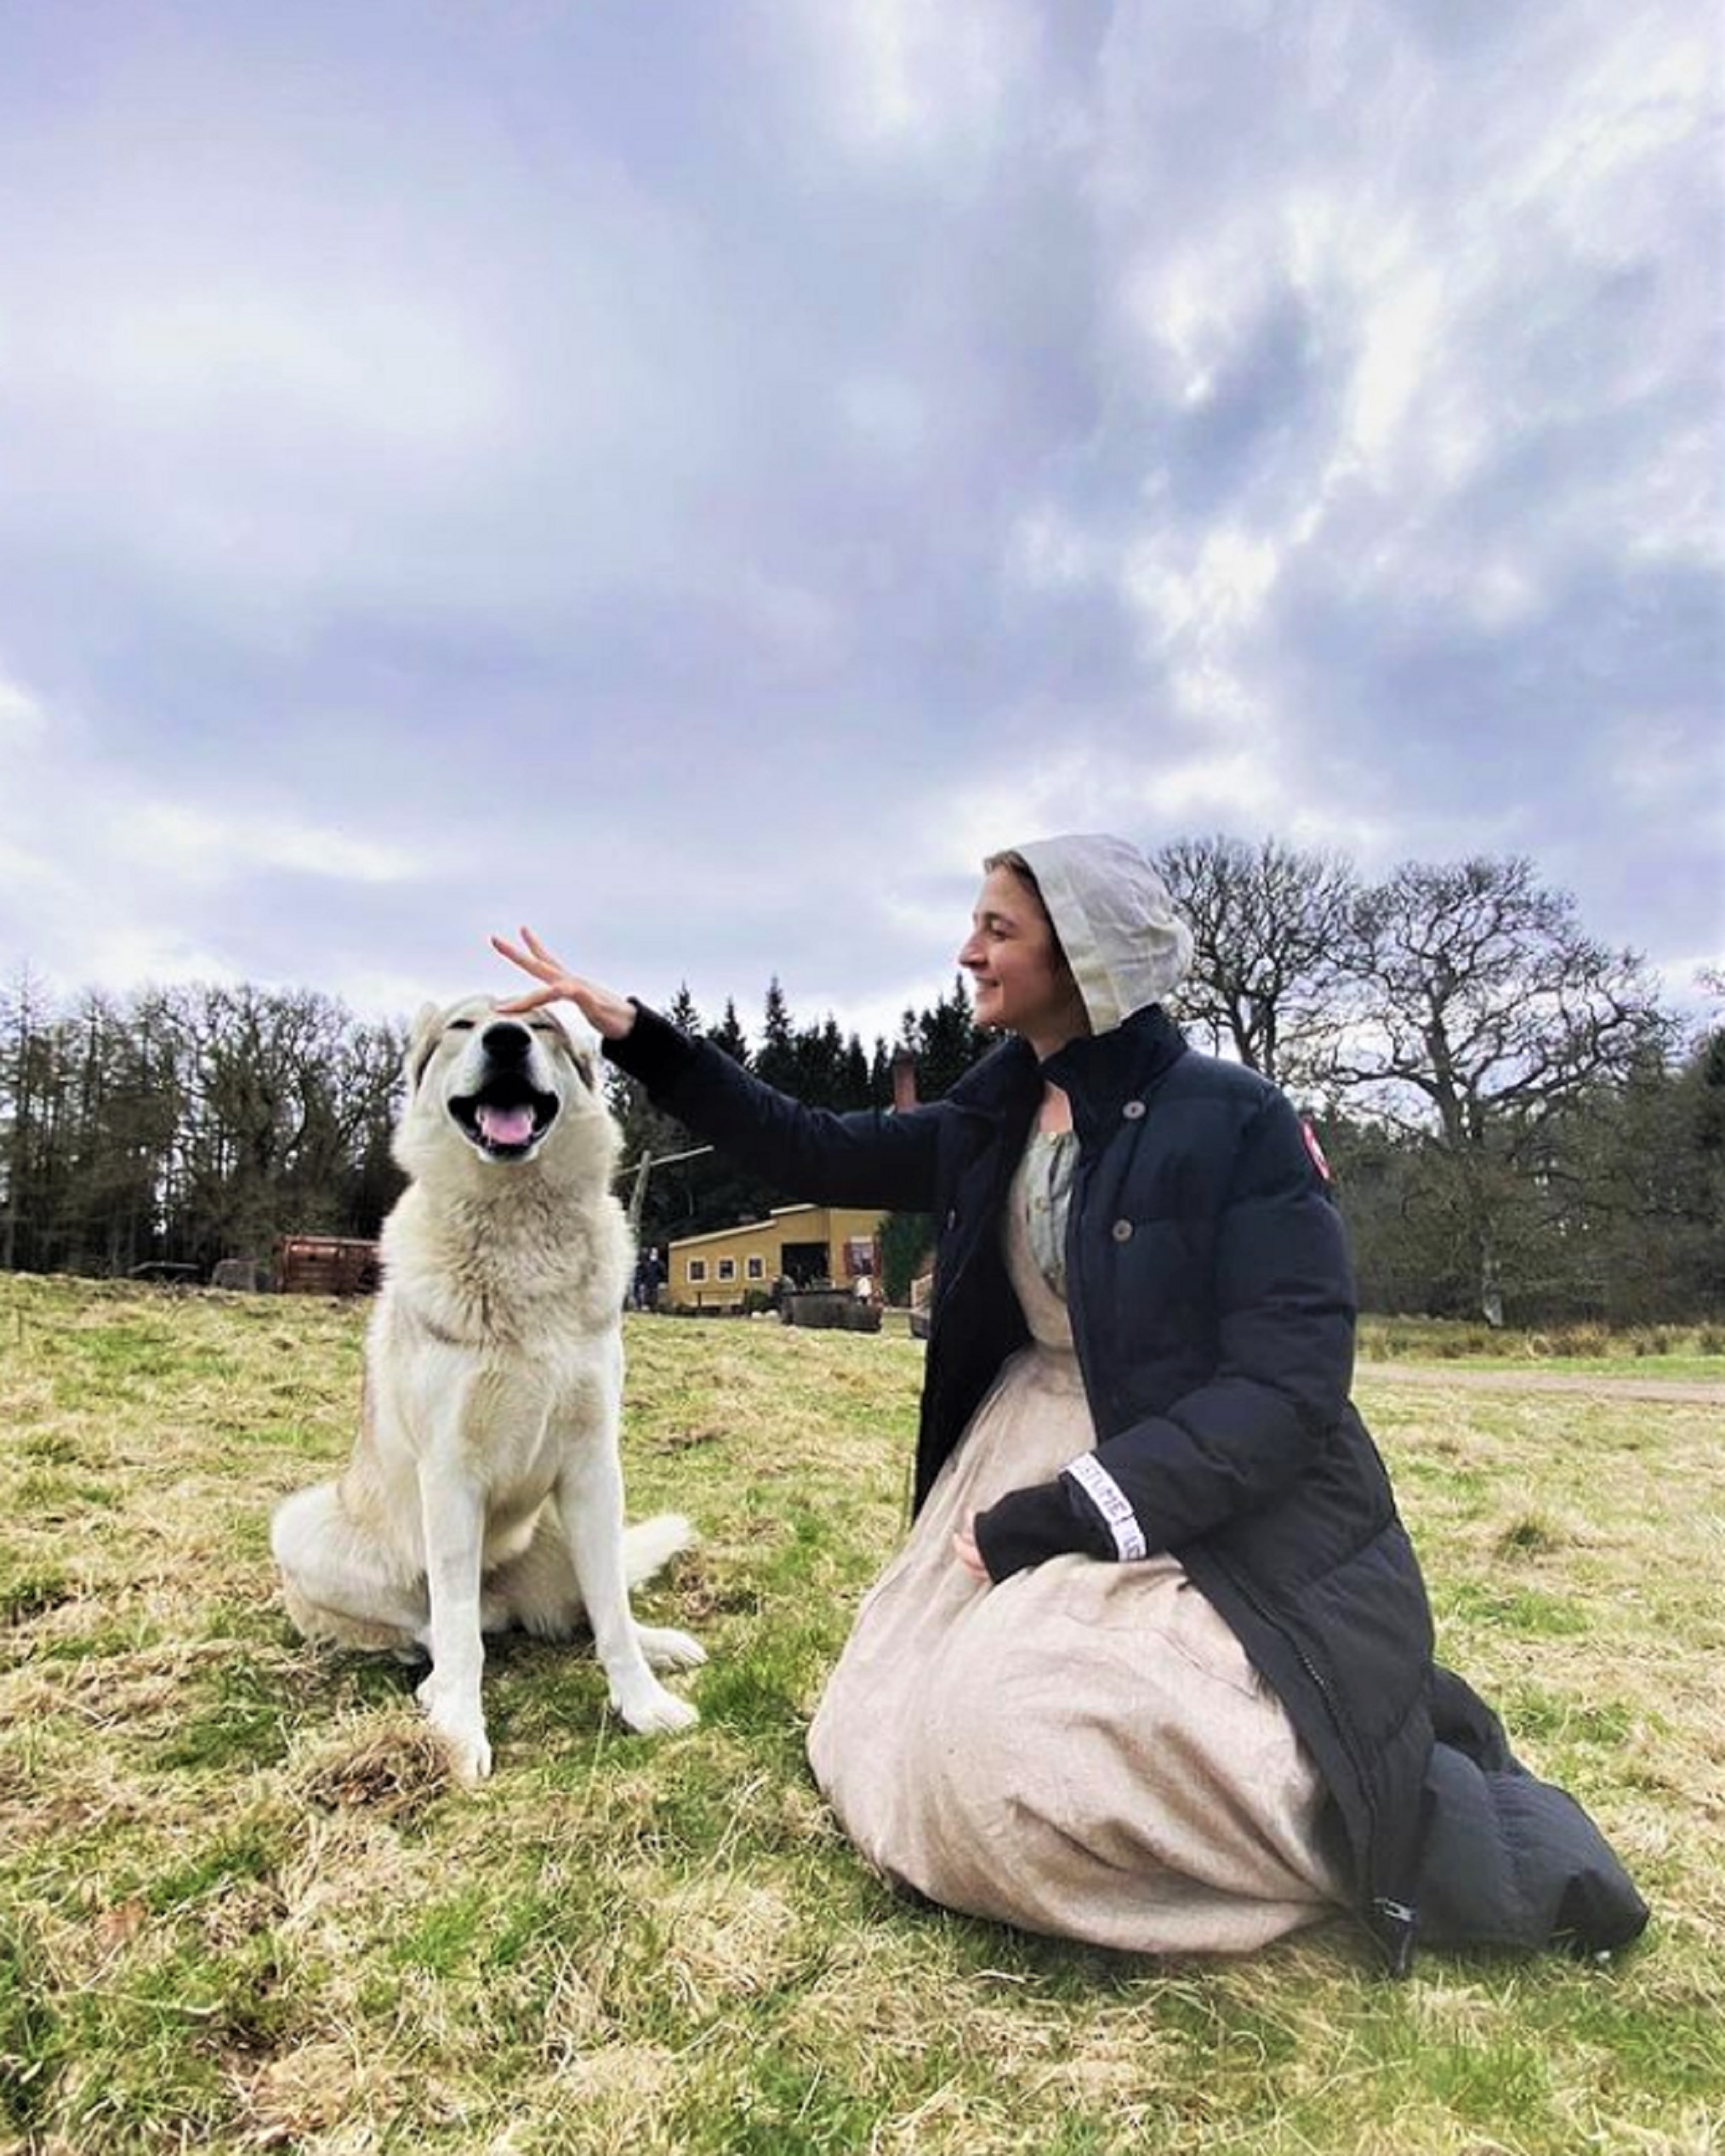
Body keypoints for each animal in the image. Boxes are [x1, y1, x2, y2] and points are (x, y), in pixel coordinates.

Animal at [269, 992, 698, 1784]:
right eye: (463, 1027)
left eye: (544, 1026)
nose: (505, 1039)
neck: (518, 1224)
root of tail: (511, 1600)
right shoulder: (450, 1476)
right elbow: (458, 1628)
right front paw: (459, 1732)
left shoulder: (594, 1465)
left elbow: (611, 1614)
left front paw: (642, 1703)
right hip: (304, 1526)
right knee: (437, 1627)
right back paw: (436, 1682)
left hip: (562, 1525)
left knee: (587, 1604)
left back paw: (659, 1642)